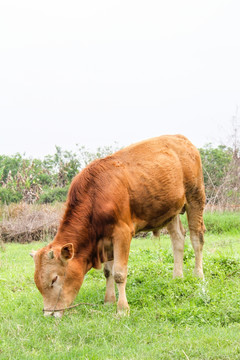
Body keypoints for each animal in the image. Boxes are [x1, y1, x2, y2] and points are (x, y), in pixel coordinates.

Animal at [30, 136, 206, 318]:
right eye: (37, 282)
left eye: (54, 279)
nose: (49, 314)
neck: (96, 196)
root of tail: (181, 138)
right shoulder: (105, 239)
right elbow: (108, 271)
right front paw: (109, 301)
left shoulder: (122, 232)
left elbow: (119, 273)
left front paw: (122, 309)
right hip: (171, 209)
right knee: (178, 239)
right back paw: (177, 277)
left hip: (195, 197)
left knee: (196, 239)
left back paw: (199, 276)